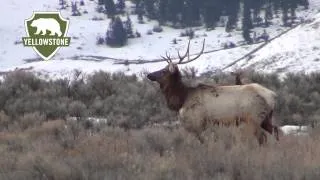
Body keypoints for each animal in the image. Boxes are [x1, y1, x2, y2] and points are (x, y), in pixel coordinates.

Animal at [147, 39, 278, 145]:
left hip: (254, 117)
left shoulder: (197, 123)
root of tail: (272, 96)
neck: (182, 99)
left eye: (164, 71)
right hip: (267, 118)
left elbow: (203, 142)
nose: (149, 75)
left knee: (262, 137)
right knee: (276, 131)